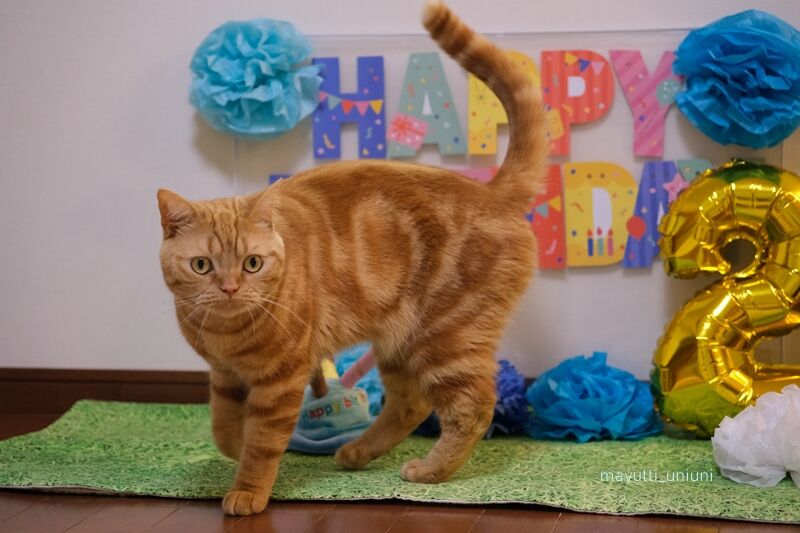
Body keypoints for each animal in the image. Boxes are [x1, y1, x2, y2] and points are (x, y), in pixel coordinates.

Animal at [158, 0, 548, 516]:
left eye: (252, 264)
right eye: (202, 265)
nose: (229, 288)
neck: (227, 334)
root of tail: (490, 192)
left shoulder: (281, 381)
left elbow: (262, 443)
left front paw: (247, 490)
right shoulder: (223, 375)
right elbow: (223, 425)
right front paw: (231, 446)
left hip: (447, 337)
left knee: (471, 407)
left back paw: (430, 470)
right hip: (401, 343)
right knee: (409, 403)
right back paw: (359, 451)